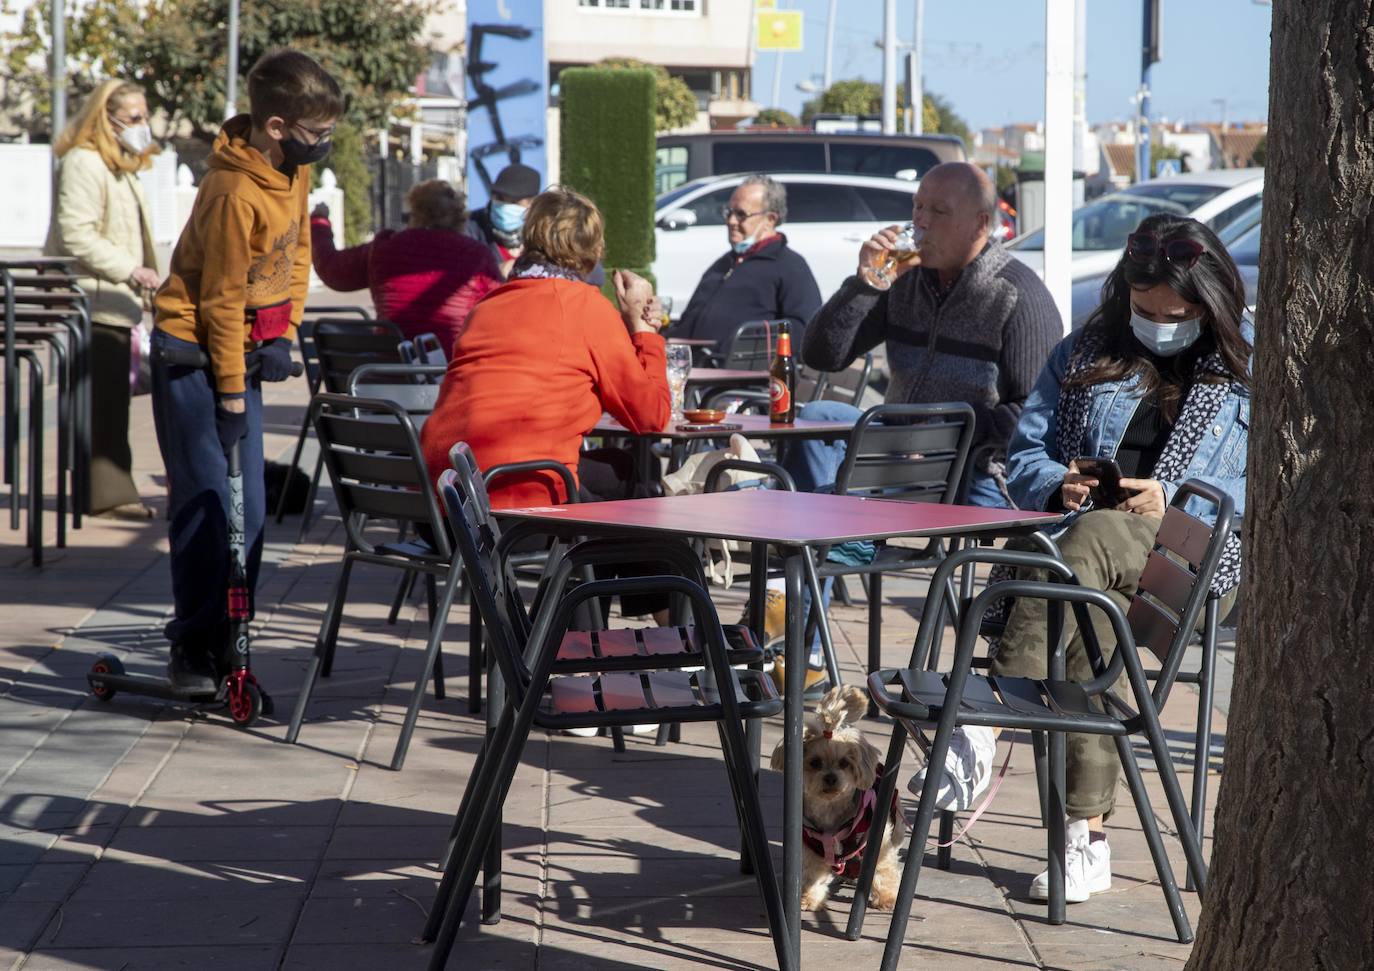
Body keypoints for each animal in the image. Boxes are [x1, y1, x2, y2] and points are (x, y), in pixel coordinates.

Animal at [774, 683, 901, 911]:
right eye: (815, 762)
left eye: (844, 763)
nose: (831, 777)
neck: (830, 809)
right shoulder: (813, 849)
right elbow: (812, 874)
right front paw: (808, 898)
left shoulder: (879, 841)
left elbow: (882, 867)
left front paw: (887, 898)